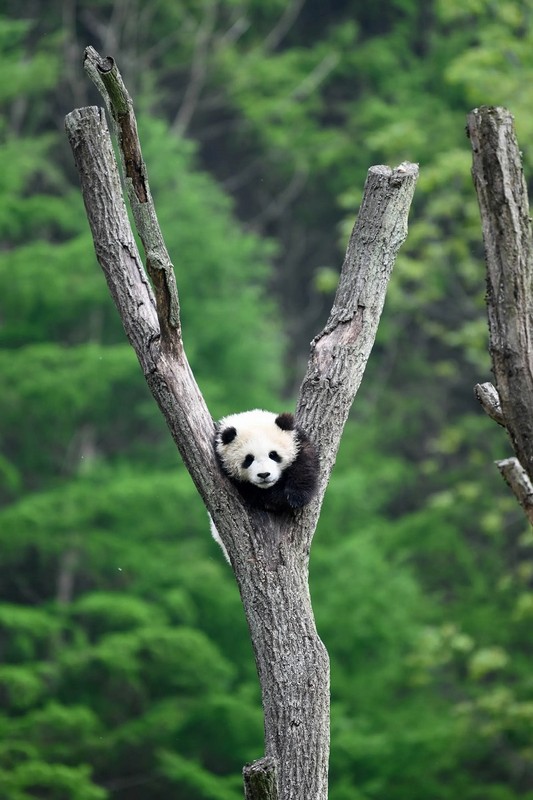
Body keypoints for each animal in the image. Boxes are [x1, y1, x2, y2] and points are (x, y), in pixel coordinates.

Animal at [209, 410, 318, 560]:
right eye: (248, 459)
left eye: (273, 454)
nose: (264, 475)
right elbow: (260, 496)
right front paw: (277, 498)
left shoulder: (299, 443)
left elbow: (304, 466)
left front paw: (295, 496)